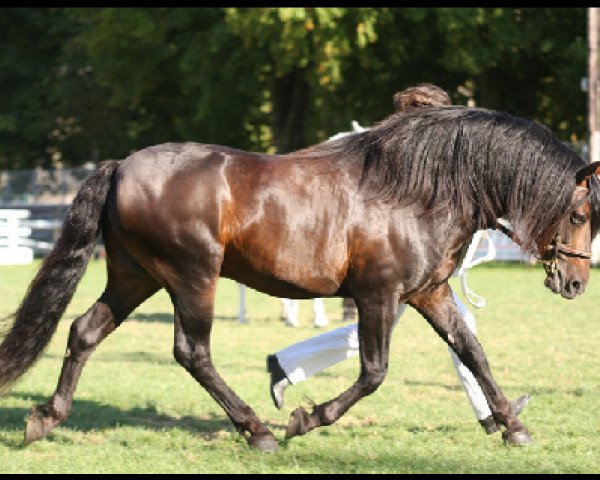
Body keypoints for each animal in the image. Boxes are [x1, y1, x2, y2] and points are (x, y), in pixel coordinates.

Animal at [1, 104, 600, 450]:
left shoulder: (428, 292)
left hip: (134, 277)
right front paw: (306, 419)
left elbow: (472, 351)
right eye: (579, 213)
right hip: (192, 277)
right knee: (192, 352)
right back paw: (258, 431)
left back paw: (45, 419)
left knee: (84, 331)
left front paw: (512, 425)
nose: (575, 283)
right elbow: (374, 372)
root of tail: (121, 166)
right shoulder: (379, 295)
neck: (417, 192)